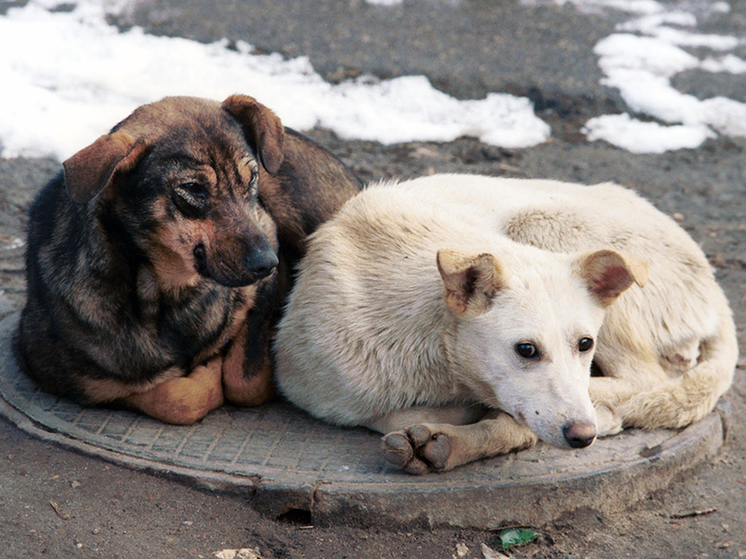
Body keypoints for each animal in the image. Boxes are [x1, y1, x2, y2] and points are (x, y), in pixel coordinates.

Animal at [13, 94, 358, 424]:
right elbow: (175, 397)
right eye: (193, 188)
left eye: (251, 179)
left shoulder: (266, 250)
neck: (167, 295)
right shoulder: (69, 376)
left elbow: (245, 381)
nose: (267, 263)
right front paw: (207, 370)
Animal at [272, 174, 732, 472]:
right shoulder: (312, 390)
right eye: (526, 350)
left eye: (585, 344)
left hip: (544, 223)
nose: (582, 436)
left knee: (647, 378)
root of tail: (714, 283)